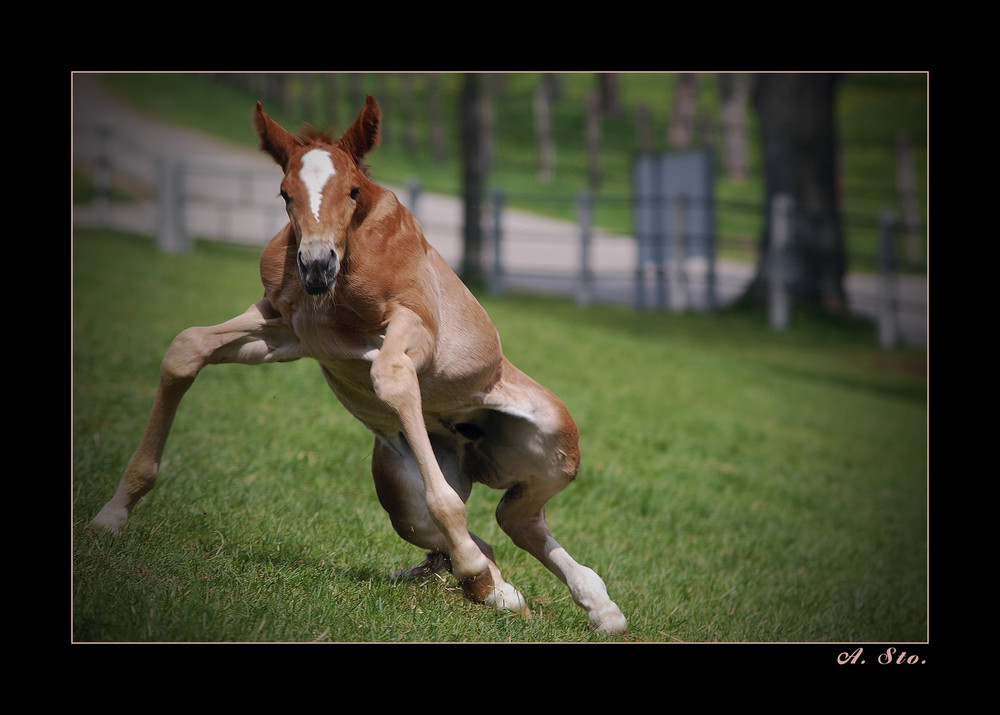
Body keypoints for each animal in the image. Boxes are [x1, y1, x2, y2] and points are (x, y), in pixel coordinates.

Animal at [90, 93, 628, 632]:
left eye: (351, 191)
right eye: (284, 194)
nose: (316, 266)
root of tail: (470, 450)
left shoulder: (416, 328)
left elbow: (391, 380)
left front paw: (477, 576)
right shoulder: (282, 330)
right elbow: (186, 348)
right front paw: (111, 515)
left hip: (554, 439)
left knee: (510, 517)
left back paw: (585, 604)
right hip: (401, 494)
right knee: (489, 527)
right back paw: (507, 592)